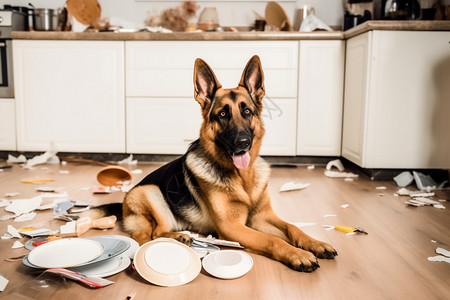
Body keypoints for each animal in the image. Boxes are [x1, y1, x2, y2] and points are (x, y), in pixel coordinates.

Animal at [89, 54, 336, 272]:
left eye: (247, 111)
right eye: (223, 115)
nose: (243, 143)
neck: (243, 179)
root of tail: (123, 201)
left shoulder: (263, 217)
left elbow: (292, 227)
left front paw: (315, 243)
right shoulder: (232, 227)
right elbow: (272, 240)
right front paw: (299, 255)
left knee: (157, 232)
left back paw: (179, 237)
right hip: (151, 193)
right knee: (146, 234)